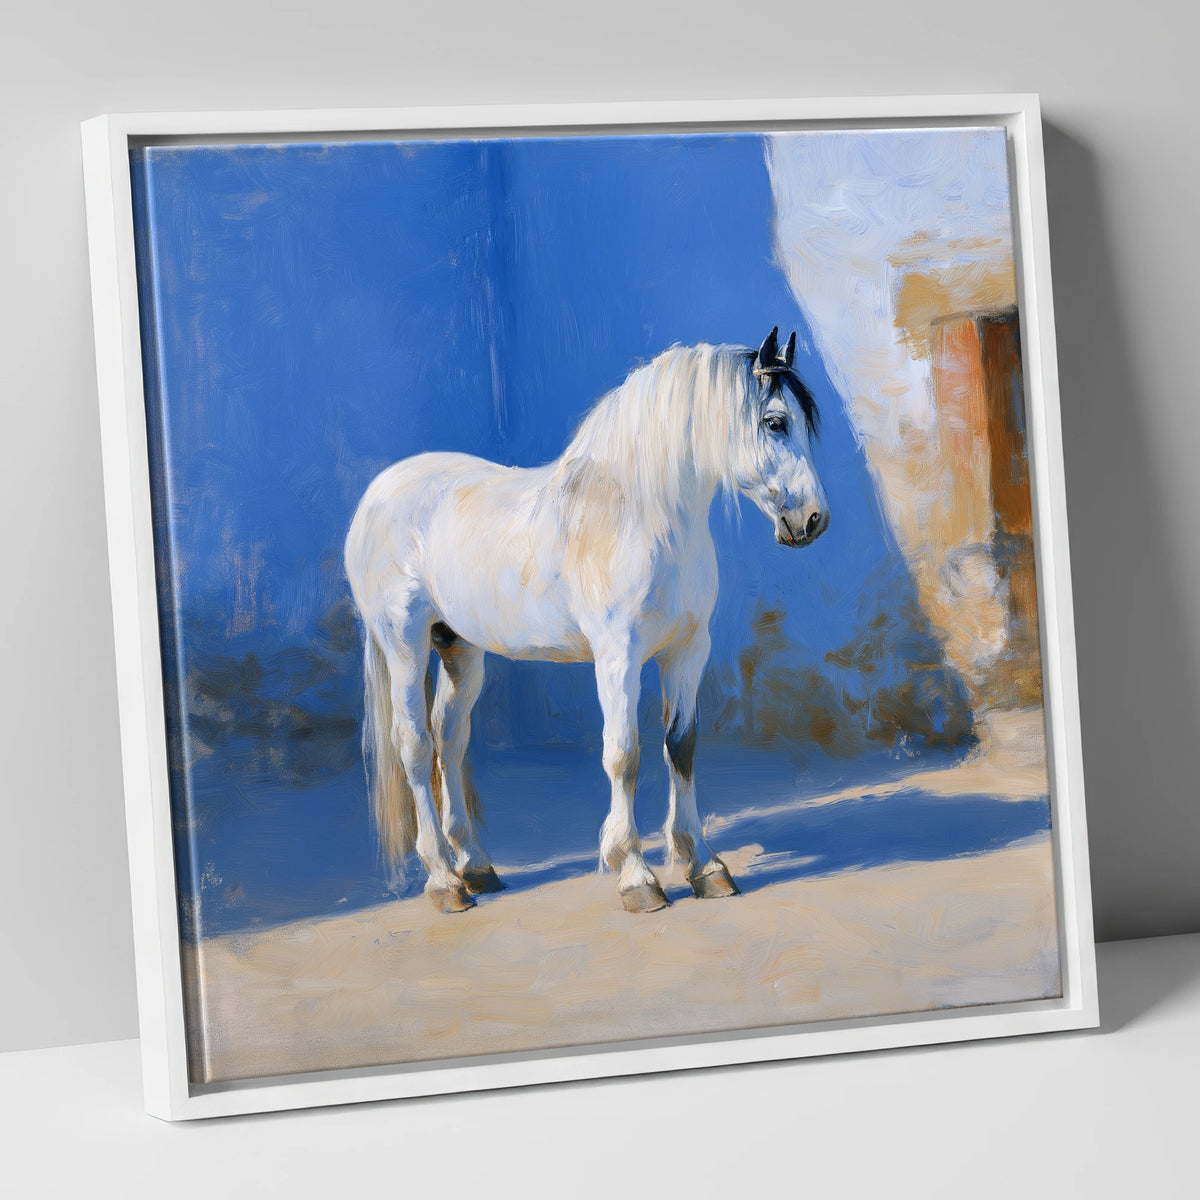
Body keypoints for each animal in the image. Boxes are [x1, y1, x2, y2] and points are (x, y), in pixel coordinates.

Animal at [344, 327, 829, 914]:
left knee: (450, 739)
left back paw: (476, 867)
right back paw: (443, 882)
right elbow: (624, 754)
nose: (813, 520)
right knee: (414, 745)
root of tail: (378, 493)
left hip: (459, 647)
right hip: (405, 643)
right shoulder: (617, 656)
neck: (640, 516)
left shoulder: (688, 650)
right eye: (776, 422)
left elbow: (681, 747)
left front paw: (704, 865)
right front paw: (636, 876)